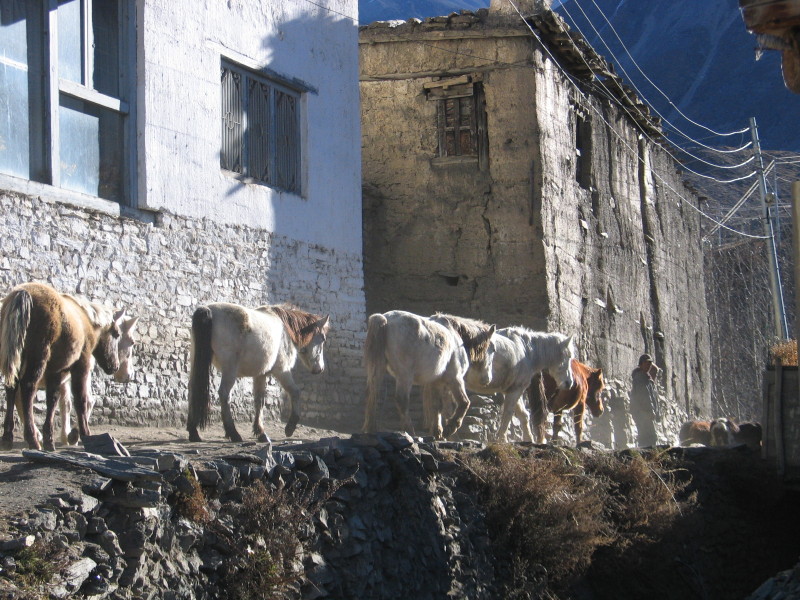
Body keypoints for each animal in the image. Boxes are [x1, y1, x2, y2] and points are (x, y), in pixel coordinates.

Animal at [0, 284, 136, 450]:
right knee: (27, 389)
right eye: (117, 334)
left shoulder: (56, 371)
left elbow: (54, 400)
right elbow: (81, 399)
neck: (86, 321)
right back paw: (32, 438)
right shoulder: (81, 366)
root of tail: (23, 293)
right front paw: (82, 434)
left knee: (12, 389)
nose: (115, 367)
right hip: (37, 360)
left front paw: (50, 439)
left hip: (16, 360)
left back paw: (8, 438)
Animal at [187, 302, 328, 442]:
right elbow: (295, 392)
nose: (320, 369)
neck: (285, 331)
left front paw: (260, 432)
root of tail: (208, 310)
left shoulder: (260, 374)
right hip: (230, 370)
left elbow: (259, 401)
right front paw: (290, 427)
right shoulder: (282, 371)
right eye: (322, 339)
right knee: (224, 394)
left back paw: (194, 432)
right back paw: (233, 433)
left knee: (193, 389)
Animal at [360, 312, 494, 438]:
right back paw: (410, 432)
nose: (487, 379)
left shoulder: (436, 383)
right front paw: (450, 428)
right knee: (401, 400)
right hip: (405, 376)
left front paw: (438, 432)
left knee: (372, 393)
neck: (455, 336)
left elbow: (436, 406)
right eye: (492, 349)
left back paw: (371, 429)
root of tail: (385, 319)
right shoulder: (455, 379)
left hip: (378, 369)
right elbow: (464, 402)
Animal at [424, 328, 576, 440]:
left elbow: (522, 415)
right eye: (568, 356)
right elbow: (508, 414)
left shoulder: (512, 390)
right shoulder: (515, 391)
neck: (526, 351)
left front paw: (528, 439)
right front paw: (502, 439)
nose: (569, 383)